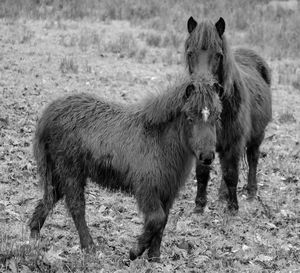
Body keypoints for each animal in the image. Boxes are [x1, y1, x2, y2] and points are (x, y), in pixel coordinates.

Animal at [29, 77, 223, 260]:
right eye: (190, 117)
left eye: (216, 117)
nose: (207, 156)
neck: (158, 140)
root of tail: (50, 112)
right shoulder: (147, 189)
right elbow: (156, 219)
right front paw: (135, 251)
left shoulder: (168, 191)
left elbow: (163, 222)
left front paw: (154, 256)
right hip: (71, 172)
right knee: (76, 207)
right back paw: (89, 247)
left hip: (60, 173)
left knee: (50, 198)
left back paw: (33, 234)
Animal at [185, 16, 272, 212]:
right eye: (190, 53)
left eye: (218, 54)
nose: (201, 86)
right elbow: (203, 173)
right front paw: (199, 206)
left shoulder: (234, 142)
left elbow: (232, 173)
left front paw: (233, 208)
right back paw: (222, 194)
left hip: (257, 136)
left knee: (252, 158)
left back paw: (251, 192)